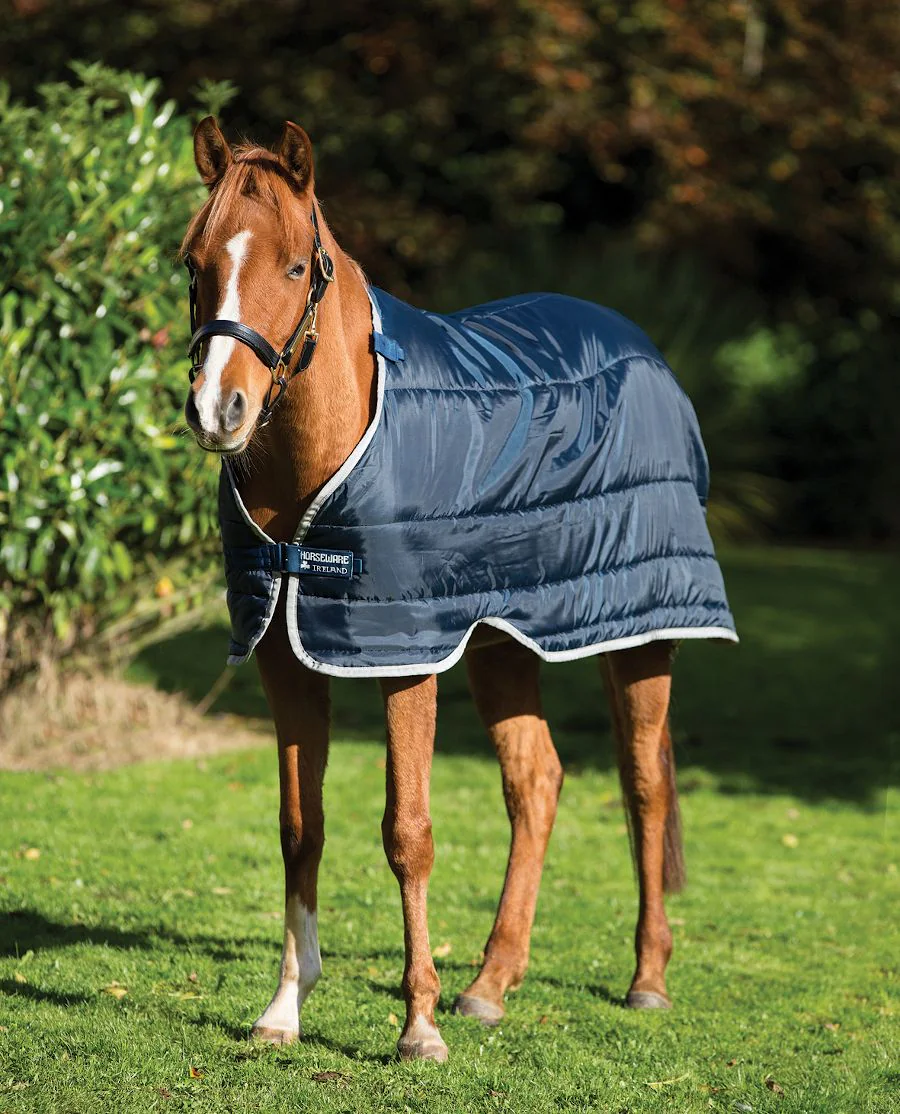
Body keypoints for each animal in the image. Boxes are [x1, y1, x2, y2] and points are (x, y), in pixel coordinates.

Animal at [180, 116, 736, 1062]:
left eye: (293, 267)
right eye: (194, 263)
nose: (221, 410)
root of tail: (641, 348)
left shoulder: (405, 659)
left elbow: (408, 833)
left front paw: (418, 1027)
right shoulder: (286, 658)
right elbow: (301, 830)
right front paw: (284, 1010)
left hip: (640, 633)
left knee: (643, 787)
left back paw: (646, 980)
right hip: (502, 643)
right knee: (537, 783)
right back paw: (491, 984)